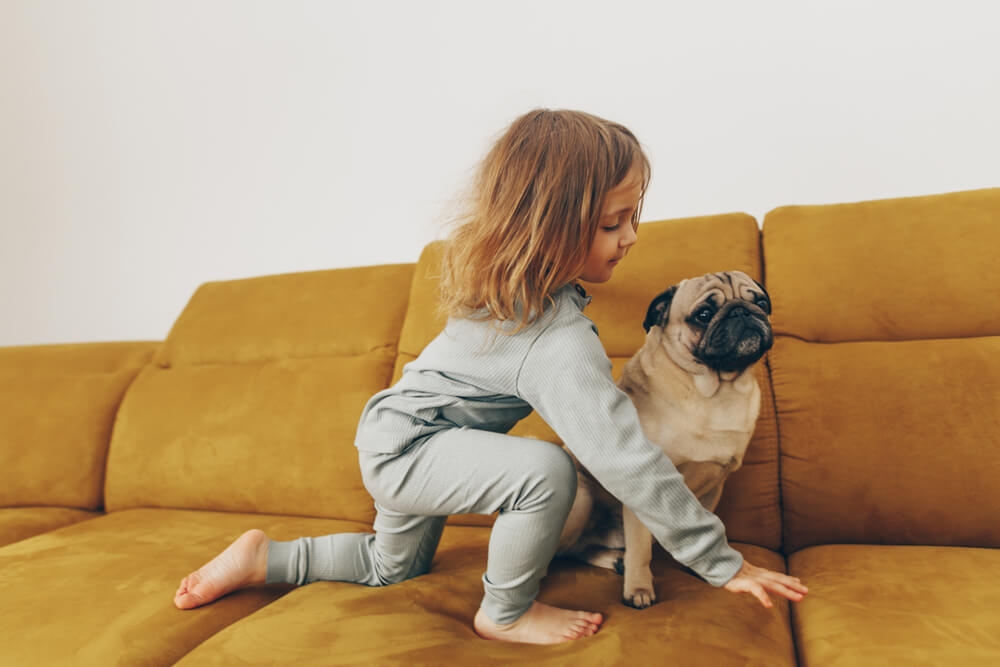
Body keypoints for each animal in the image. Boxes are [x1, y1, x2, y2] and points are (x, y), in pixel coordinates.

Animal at [556, 270, 772, 612]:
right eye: (703, 314)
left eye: (761, 302)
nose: (742, 311)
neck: (715, 391)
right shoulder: (645, 485)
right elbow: (641, 550)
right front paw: (639, 589)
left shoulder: (713, 486)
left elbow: (708, 526)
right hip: (582, 499)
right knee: (565, 551)